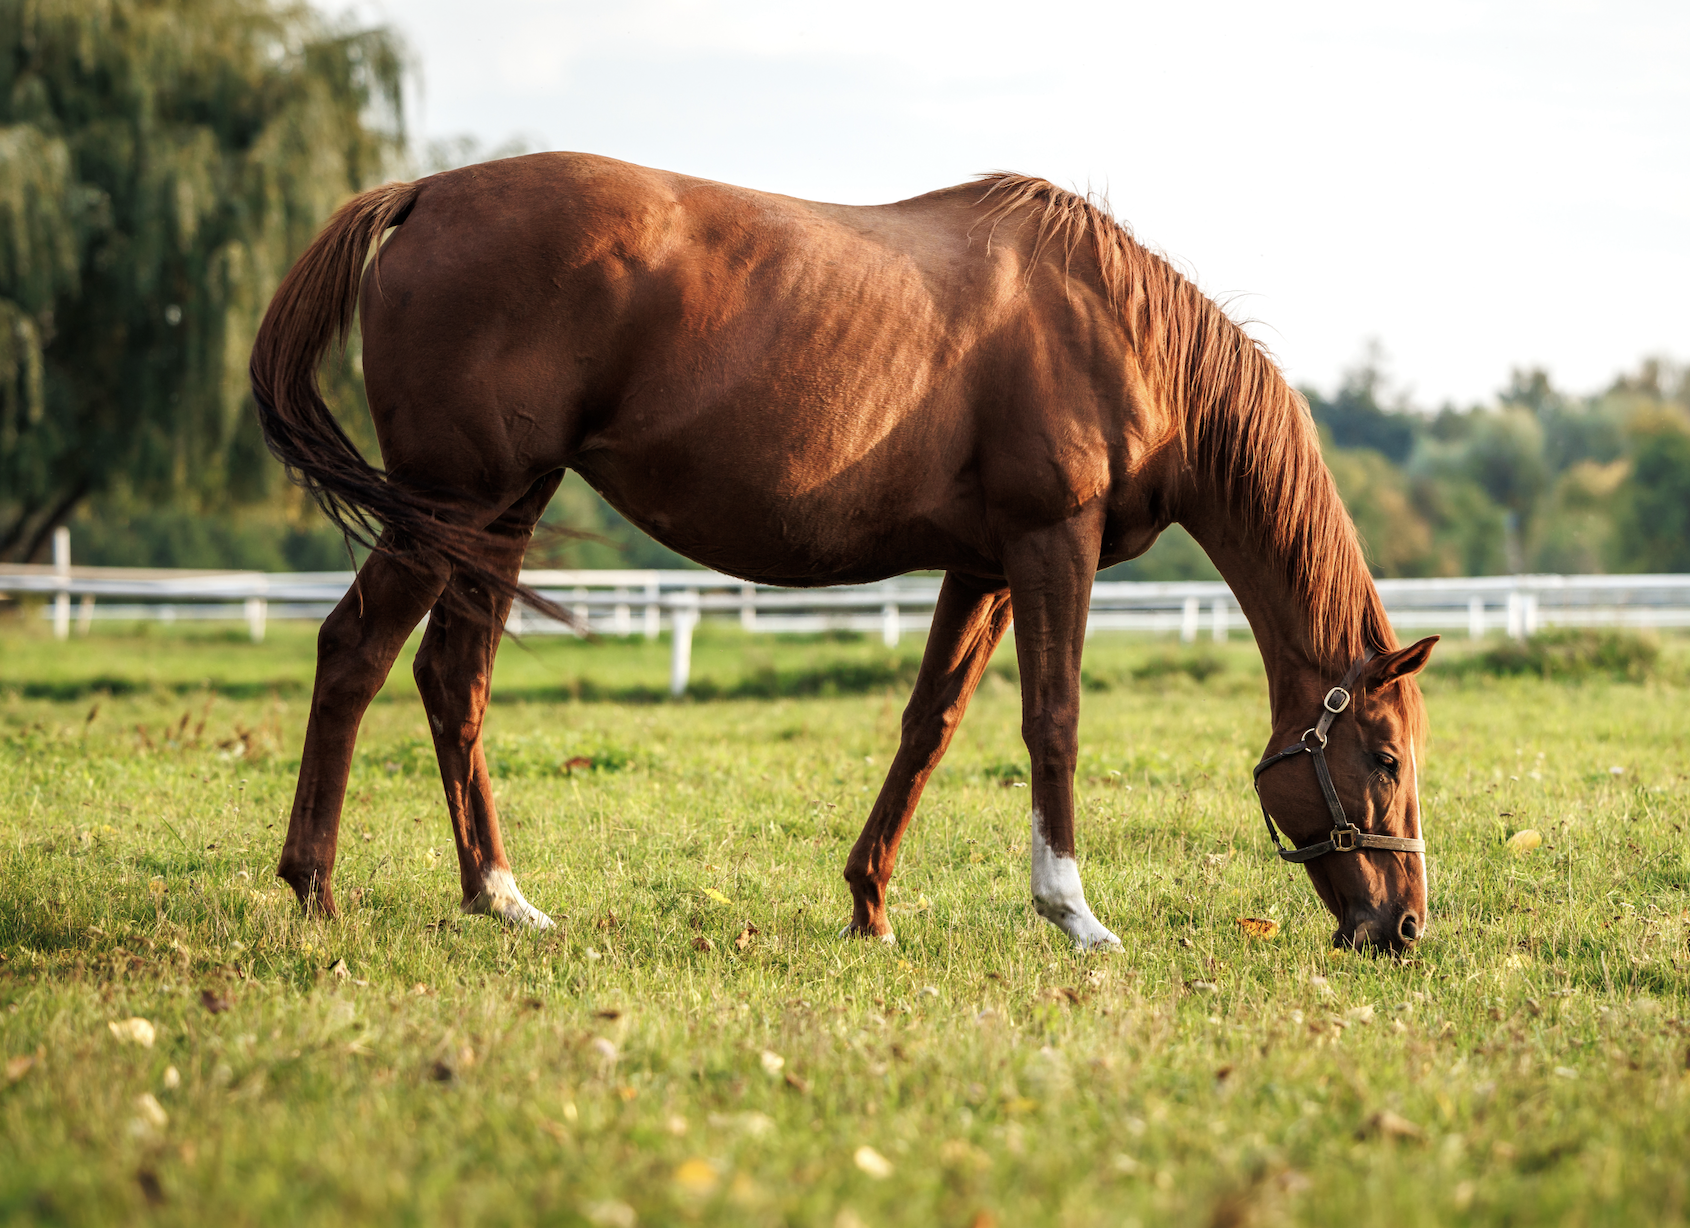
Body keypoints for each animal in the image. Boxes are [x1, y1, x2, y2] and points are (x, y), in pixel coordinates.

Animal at [250, 153, 1439, 952]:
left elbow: (930, 726)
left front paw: (869, 902)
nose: (1403, 927)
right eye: (1384, 759)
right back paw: (314, 891)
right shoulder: (1053, 544)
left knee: (452, 680)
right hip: (449, 505)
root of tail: (423, 193)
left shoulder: (984, 567)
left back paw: (499, 895)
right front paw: (1073, 913)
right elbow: (1051, 721)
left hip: (500, 514)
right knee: (352, 654)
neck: (1117, 332)